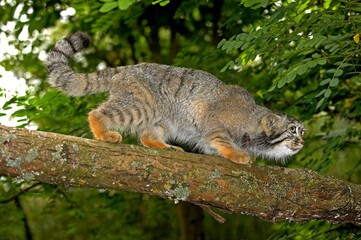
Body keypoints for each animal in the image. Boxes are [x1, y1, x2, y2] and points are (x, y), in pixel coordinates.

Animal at [45, 31, 304, 164]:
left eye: (303, 132)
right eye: (292, 130)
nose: (302, 142)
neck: (251, 121)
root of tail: (126, 68)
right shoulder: (214, 124)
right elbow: (222, 140)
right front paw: (238, 154)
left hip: (163, 119)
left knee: (146, 135)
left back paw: (163, 145)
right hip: (140, 106)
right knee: (97, 112)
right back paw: (103, 133)